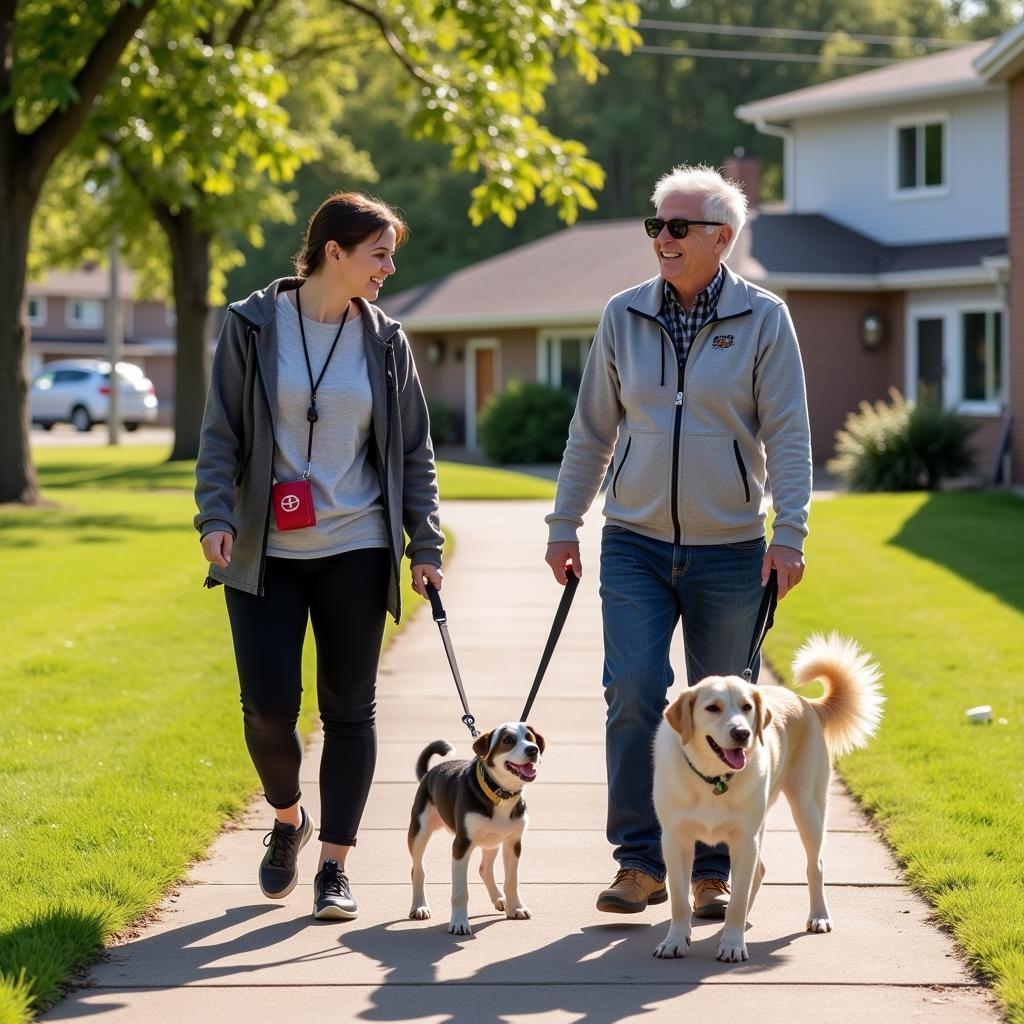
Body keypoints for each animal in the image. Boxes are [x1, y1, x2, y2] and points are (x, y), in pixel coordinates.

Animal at [405, 720, 544, 937]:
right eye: (507, 740)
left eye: (530, 738)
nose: (533, 750)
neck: (499, 795)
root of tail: (429, 773)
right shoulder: (461, 845)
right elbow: (460, 892)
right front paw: (459, 923)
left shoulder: (513, 843)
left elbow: (512, 881)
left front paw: (516, 907)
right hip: (419, 831)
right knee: (417, 869)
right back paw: (419, 906)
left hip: (492, 840)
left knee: (484, 869)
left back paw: (499, 898)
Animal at [651, 634, 884, 962]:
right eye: (712, 708)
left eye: (747, 707)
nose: (742, 733)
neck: (714, 779)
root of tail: (807, 704)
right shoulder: (675, 839)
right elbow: (680, 901)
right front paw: (674, 940)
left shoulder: (744, 840)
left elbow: (736, 901)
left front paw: (733, 944)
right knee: (759, 872)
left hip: (808, 810)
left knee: (814, 866)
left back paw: (818, 916)